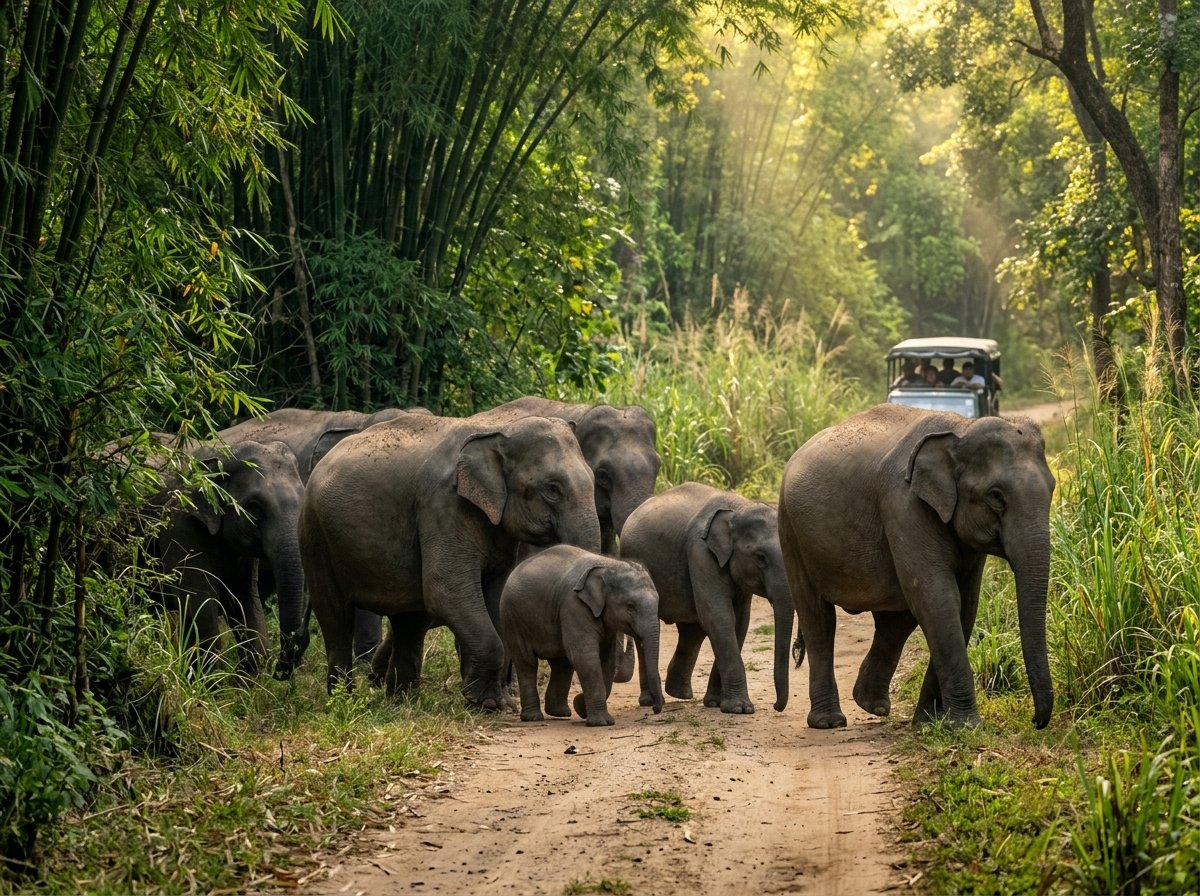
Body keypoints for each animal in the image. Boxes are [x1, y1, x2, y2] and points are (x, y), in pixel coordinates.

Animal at [144, 437, 308, 677]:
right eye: (254, 508)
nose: (280, 669)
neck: (220, 454)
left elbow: (244, 600)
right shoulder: (178, 527)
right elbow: (201, 604)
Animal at [300, 412, 602, 709]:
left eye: (593, 478)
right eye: (552, 489)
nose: (579, 704)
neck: (497, 430)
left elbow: (496, 596)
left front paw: (495, 702)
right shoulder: (444, 506)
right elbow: (446, 591)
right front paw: (488, 702)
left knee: (410, 620)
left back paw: (401, 700)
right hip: (315, 535)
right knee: (336, 616)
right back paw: (343, 702)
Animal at [498, 544, 665, 726]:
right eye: (630, 607)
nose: (655, 709)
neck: (608, 564)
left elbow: (606, 659)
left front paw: (582, 707)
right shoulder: (574, 606)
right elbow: (585, 656)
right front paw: (601, 722)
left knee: (562, 664)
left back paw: (560, 712)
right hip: (512, 618)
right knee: (527, 662)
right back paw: (533, 717)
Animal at [619, 482, 795, 714]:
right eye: (760, 557)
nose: (776, 706)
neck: (738, 508)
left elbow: (739, 622)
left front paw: (715, 703)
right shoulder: (700, 552)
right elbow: (718, 616)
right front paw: (740, 709)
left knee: (693, 629)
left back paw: (679, 693)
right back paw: (651, 700)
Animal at [777, 404, 1056, 730]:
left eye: (1052, 488)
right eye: (996, 497)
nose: (1036, 721)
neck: (960, 429)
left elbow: (964, 605)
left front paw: (929, 723)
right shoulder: (903, 504)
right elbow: (938, 597)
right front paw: (965, 727)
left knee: (897, 619)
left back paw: (872, 704)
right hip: (791, 532)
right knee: (818, 617)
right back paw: (830, 722)